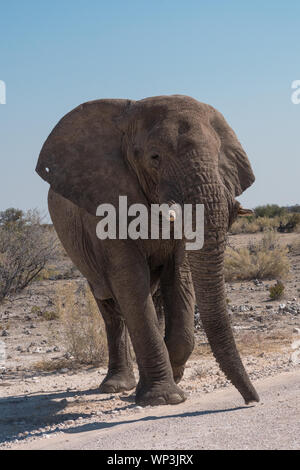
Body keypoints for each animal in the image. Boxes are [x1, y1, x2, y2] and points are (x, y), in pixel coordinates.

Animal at [35, 93, 260, 406]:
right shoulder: (105, 205)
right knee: (111, 308)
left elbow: (180, 276)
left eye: (218, 156)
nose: (253, 400)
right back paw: (117, 386)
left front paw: (175, 376)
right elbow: (130, 280)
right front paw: (165, 398)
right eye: (155, 157)